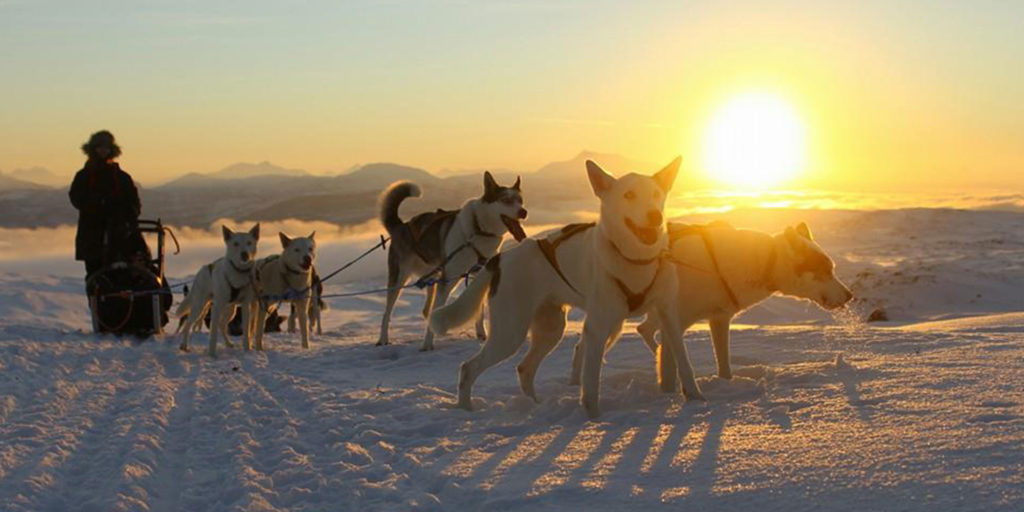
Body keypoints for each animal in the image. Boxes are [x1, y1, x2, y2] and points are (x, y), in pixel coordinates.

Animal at [175, 224, 260, 356]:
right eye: (235, 243)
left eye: (249, 243)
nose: (244, 254)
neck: (238, 273)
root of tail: (204, 268)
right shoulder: (217, 306)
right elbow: (213, 334)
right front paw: (212, 355)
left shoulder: (246, 305)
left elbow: (246, 332)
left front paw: (247, 350)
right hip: (200, 306)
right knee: (188, 324)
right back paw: (184, 345)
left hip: (231, 309)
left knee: (221, 325)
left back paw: (228, 343)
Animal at [430, 157, 704, 417]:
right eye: (629, 195)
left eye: (656, 194)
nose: (654, 216)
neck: (636, 260)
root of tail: (501, 258)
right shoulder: (596, 328)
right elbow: (591, 381)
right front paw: (593, 417)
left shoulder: (668, 316)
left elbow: (685, 362)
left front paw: (695, 398)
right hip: (510, 333)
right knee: (468, 368)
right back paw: (466, 408)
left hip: (551, 329)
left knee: (524, 368)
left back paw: (534, 405)